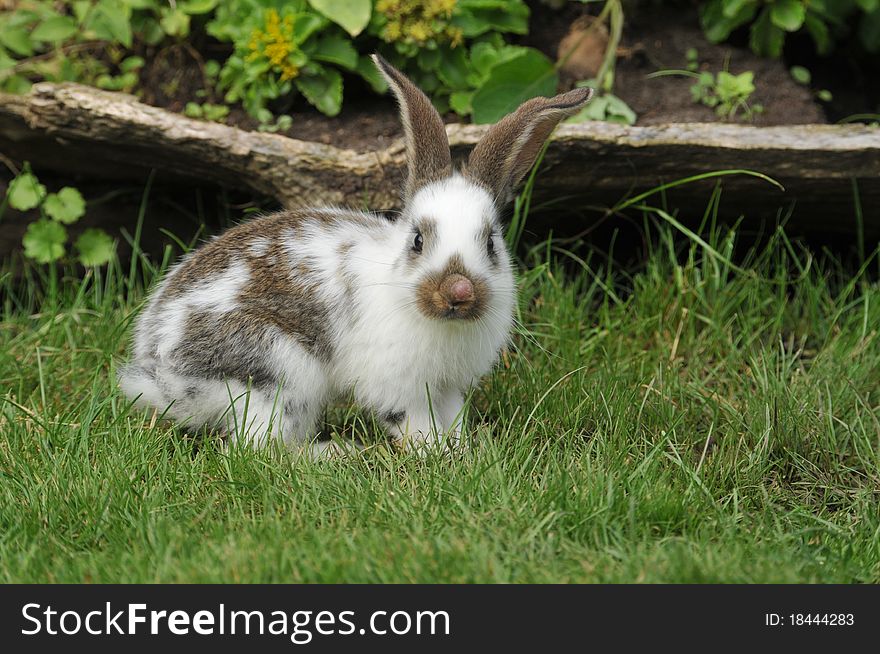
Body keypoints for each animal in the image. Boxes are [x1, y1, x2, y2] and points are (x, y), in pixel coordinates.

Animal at [117, 55, 596, 456]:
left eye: (491, 243)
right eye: (418, 240)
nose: (458, 291)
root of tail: (163, 377)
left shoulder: (447, 388)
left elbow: (453, 417)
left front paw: (464, 450)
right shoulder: (399, 387)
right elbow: (415, 424)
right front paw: (436, 455)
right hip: (279, 374)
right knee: (261, 450)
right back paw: (334, 455)